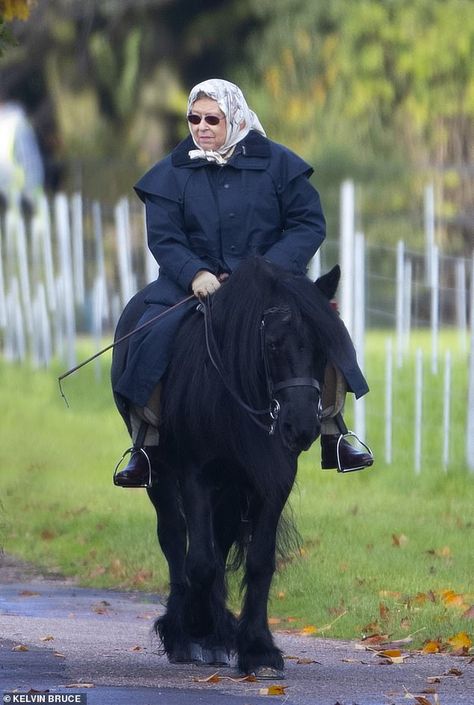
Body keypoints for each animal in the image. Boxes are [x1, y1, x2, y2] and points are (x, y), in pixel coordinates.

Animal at [111, 258, 356, 676]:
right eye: (272, 344)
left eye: (324, 345)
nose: (301, 426)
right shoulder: (195, 474)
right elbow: (199, 561)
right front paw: (196, 627)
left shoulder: (274, 480)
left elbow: (258, 561)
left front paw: (257, 648)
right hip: (163, 475)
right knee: (174, 537)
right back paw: (186, 634)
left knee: (220, 540)